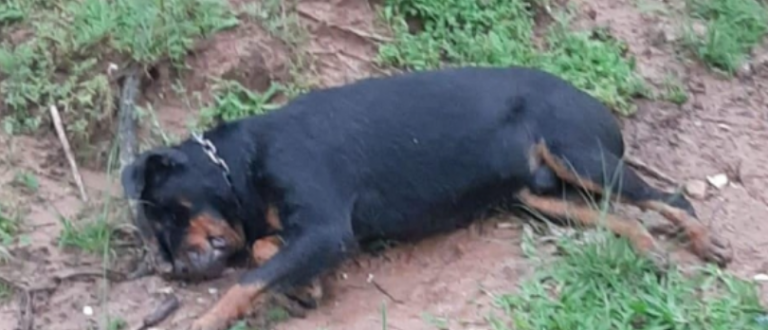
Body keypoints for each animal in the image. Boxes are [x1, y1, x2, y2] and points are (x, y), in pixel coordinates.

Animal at [120, 65, 732, 328]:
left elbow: (243, 281)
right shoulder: (313, 237)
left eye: (167, 213)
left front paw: (203, 320)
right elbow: (266, 253)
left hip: (582, 158)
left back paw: (704, 242)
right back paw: (648, 251)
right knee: (620, 218)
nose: (175, 272)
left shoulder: (326, 230)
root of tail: (595, 102)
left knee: (671, 198)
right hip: (537, 197)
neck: (244, 162)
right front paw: (304, 291)